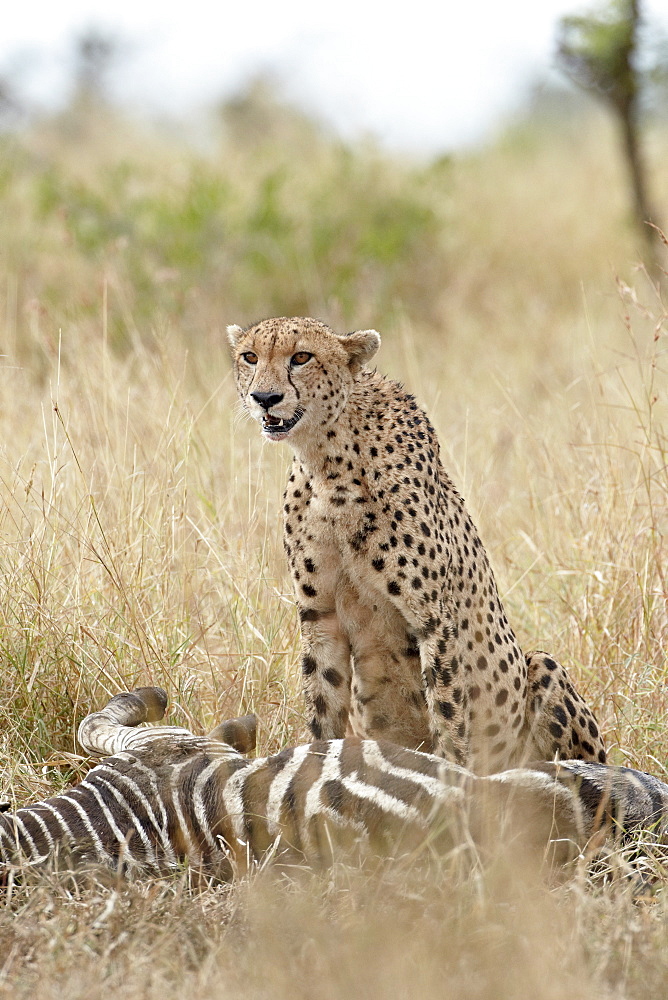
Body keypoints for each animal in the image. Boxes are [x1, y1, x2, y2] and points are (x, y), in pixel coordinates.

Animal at [228, 314, 604, 772]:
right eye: (250, 356)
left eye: (301, 357)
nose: (265, 398)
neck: (328, 458)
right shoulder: (320, 618)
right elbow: (323, 704)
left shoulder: (433, 620)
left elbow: (448, 712)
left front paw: (453, 780)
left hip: (541, 668)